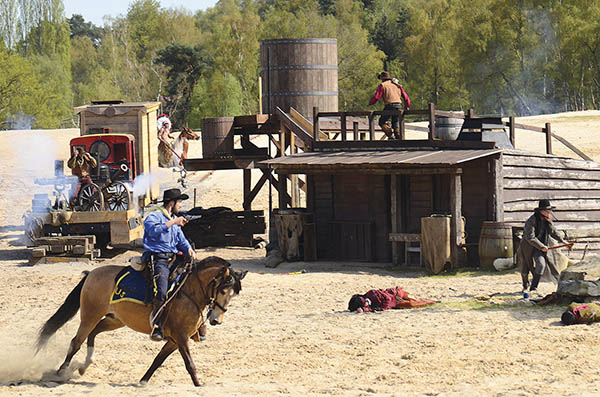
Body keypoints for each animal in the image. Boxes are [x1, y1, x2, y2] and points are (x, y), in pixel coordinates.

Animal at [35, 255, 246, 386]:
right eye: (223, 290)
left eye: (233, 294)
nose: (216, 320)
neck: (188, 292)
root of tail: (91, 275)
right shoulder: (181, 337)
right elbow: (189, 364)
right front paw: (198, 385)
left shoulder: (173, 340)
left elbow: (158, 360)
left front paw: (143, 381)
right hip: (90, 315)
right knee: (76, 341)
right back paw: (61, 371)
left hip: (114, 320)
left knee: (92, 335)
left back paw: (85, 366)